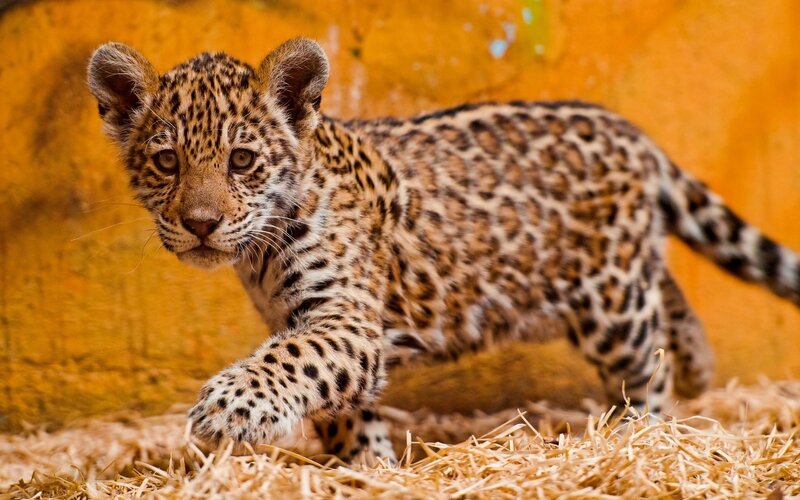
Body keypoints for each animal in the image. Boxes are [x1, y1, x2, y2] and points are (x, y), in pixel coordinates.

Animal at [87, 38, 800, 464]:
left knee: (645, 363)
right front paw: (366, 468)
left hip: (611, 302)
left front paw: (229, 409)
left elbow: (292, 360)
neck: (261, 252)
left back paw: (643, 438)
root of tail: (631, 133)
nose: (200, 223)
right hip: (627, 272)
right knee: (668, 293)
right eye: (166, 162)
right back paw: (699, 368)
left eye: (241, 160)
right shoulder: (313, 322)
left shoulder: (344, 316)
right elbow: (338, 399)